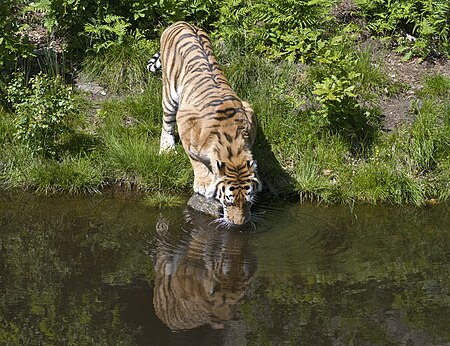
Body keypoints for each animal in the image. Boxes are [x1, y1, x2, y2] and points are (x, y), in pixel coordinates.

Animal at [149, 22, 262, 227]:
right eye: (228, 201)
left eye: (248, 201)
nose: (239, 224)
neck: (232, 143)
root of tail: (180, 22)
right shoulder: (185, 124)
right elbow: (196, 160)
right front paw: (203, 184)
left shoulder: (249, 111)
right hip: (169, 94)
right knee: (166, 123)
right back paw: (167, 148)